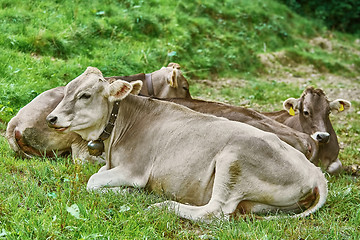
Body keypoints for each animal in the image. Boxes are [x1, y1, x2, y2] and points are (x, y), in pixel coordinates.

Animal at [45, 67, 330, 221]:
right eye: (68, 90)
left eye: (85, 95)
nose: (51, 118)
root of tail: (316, 172)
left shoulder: (134, 170)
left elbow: (92, 182)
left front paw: (129, 193)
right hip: (259, 201)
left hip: (232, 159)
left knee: (215, 211)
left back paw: (162, 205)